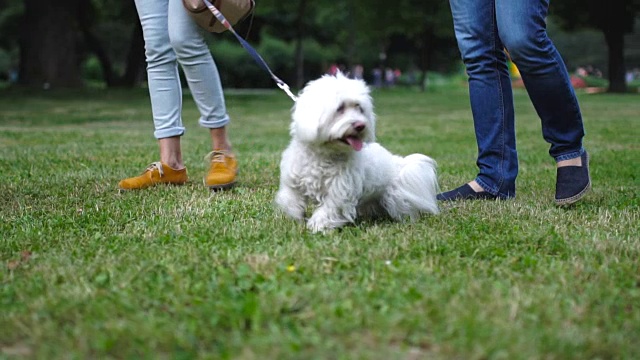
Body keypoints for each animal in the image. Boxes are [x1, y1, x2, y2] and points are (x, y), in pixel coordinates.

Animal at [276, 73, 440, 233]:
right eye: (340, 108)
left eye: (359, 108)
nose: (361, 125)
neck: (323, 155)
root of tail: (398, 163)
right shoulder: (293, 183)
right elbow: (291, 201)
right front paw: (296, 219)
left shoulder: (339, 192)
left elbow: (329, 210)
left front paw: (318, 226)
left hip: (395, 197)